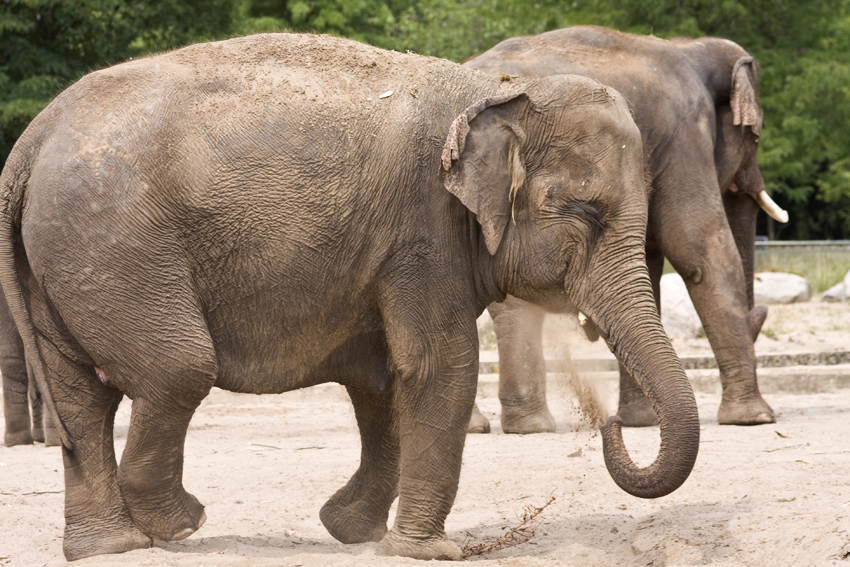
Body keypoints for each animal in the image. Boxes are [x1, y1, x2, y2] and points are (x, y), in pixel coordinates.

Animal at [0, 34, 696, 564]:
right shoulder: (424, 231)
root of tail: (30, 142)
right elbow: (438, 367)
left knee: (81, 396)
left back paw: (110, 547)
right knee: (177, 370)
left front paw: (352, 530)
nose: (608, 423)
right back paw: (178, 524)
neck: (493, 91)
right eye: (584, 212)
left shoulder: (394, 249)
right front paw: (426, 551)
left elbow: (384, 379)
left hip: (65, 259)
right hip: (113, 248)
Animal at [464, 25, 780, 434]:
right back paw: (530, 426)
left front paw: (640, 422)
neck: (691, 47)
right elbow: (700, 249)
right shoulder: (684, 136)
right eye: (754, 136)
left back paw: (491, 426)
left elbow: (644, 265)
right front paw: (753, 419)